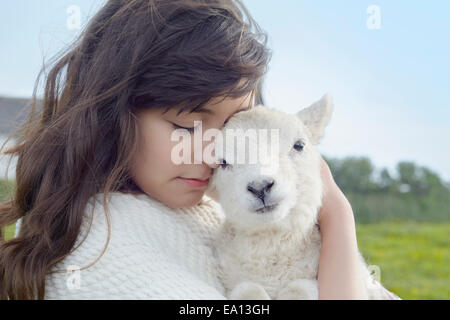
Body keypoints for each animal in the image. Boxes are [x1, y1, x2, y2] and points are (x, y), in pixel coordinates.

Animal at [207, 93, 398, 300]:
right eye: (223, 163)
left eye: (299, 145)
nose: (260, 187)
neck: (273, 244)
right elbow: (247, 288)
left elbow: (301, 288)